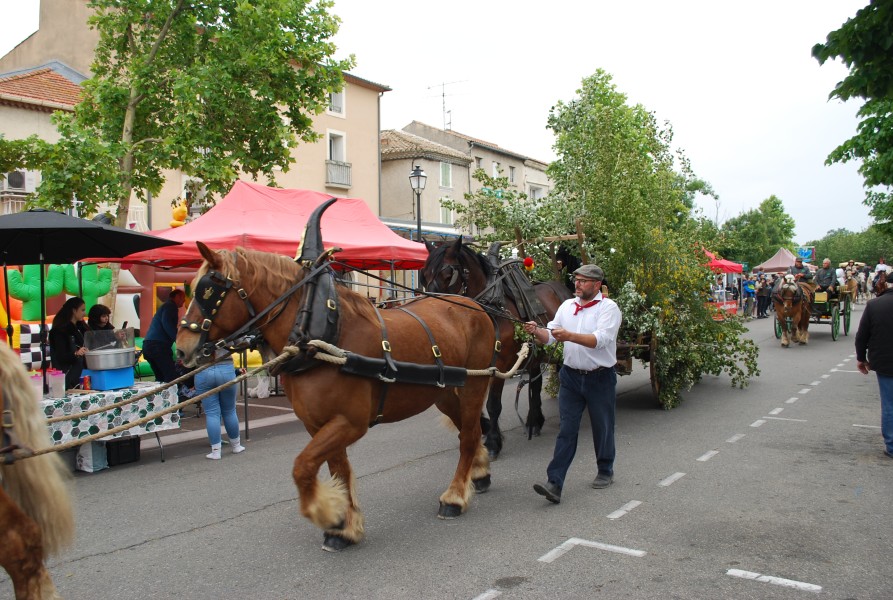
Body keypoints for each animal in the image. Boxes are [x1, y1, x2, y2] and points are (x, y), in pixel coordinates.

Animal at [174, 240, 494, 552]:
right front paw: (345, 527)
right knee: (469, 430)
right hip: (445, 393)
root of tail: (473, 304)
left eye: (209, 288)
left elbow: (303, 467)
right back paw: (479, 473)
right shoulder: (319, 423)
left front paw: (328, 515)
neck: (322, 338)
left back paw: (454, 497)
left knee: (468, 436)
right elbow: (338, 469)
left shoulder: (350, 423)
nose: (182, 349)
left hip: (474, 385)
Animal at [420, 239, 572, 460]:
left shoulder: (500, 365)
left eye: (448, 275)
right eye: (424, 274)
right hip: (534, 354)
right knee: (535, 383)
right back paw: (534, 421)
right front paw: (483, 430)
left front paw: (492, 442)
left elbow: (493, 404)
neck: (490, 307)